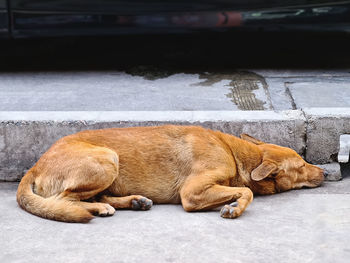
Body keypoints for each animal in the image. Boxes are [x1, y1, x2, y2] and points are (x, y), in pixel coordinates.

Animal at [15, 126, 322, 223]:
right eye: (301, 166)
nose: (324, 172)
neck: (235, 154)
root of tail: (36, 165)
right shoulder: (192, 193)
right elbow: (246, 191)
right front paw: (234, 207)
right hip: (107, 160)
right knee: (64, 201)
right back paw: (97, 208)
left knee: (93, 197)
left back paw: (132, 202)